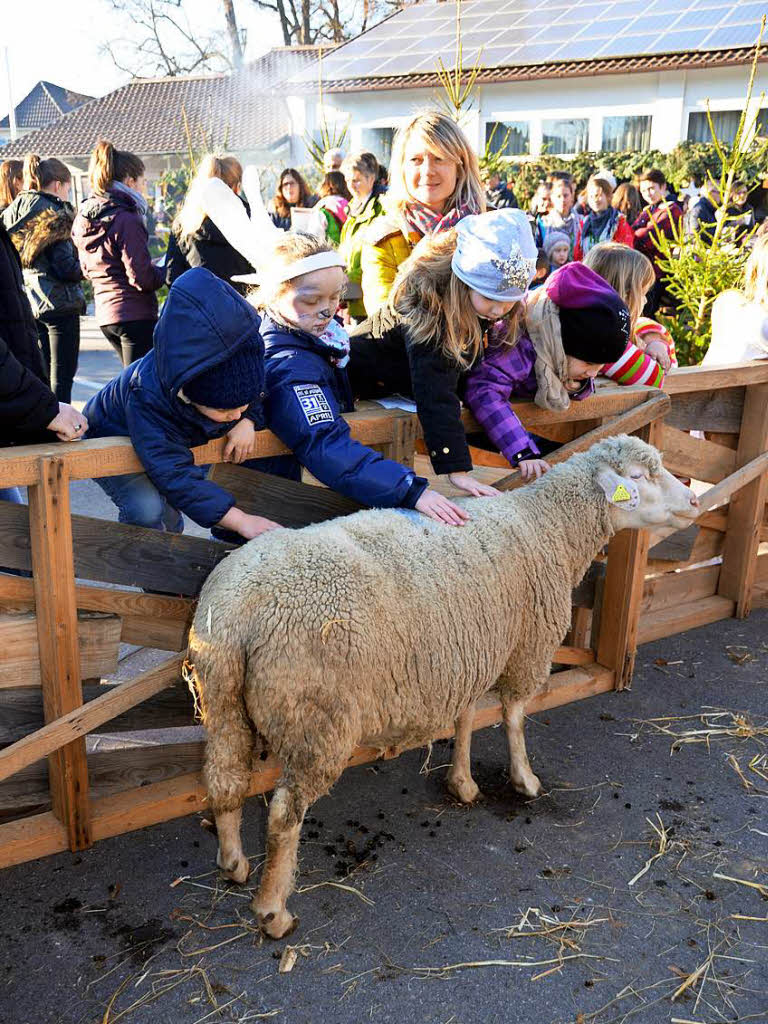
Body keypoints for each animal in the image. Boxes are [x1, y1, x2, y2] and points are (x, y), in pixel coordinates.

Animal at [188, 432, 704, 937]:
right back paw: (274, 911)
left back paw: (233, 863)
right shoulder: (525, 647)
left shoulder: (468, 652)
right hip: (318, 720)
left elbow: (467, 717)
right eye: (639, 476)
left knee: (224, 780)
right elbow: (514, 715)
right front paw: (525, 779)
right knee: (283, 814)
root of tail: (242, 611)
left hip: (222, 699)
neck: (547, 527)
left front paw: (463, 782)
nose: (695, 501)